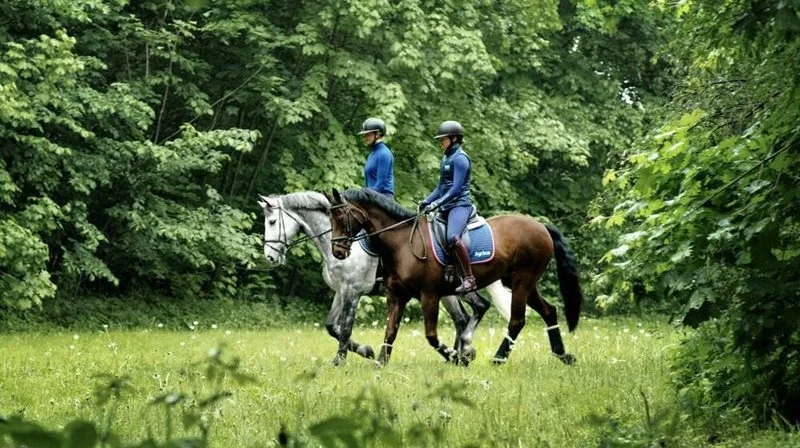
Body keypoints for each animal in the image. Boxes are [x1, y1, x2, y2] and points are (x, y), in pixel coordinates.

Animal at [258, 192, 512, 364]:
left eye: (272, 222)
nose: (269, 257)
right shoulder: (341, 291)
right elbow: (331, 326)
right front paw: (366, 351)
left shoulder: (353, 291)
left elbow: (345, 327)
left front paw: (342, 359)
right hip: (448, 293)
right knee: (463, 318)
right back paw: (459, 354)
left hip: (453, 290)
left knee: (474, 309)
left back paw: (462, 353)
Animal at [324, 187, 580, 366]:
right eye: (329, 217)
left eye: (341, 217)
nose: (338, 252)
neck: (401, 243)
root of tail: (541, 226)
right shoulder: (397, 295)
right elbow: (390, 331)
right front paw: (380, 362)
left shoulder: (429, 296)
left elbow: (431, 336)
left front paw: (458, 357)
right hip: (522, 283)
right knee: (548, 311)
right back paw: (563, 355)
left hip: (521, 282)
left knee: (516, 320)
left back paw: (497, 358)